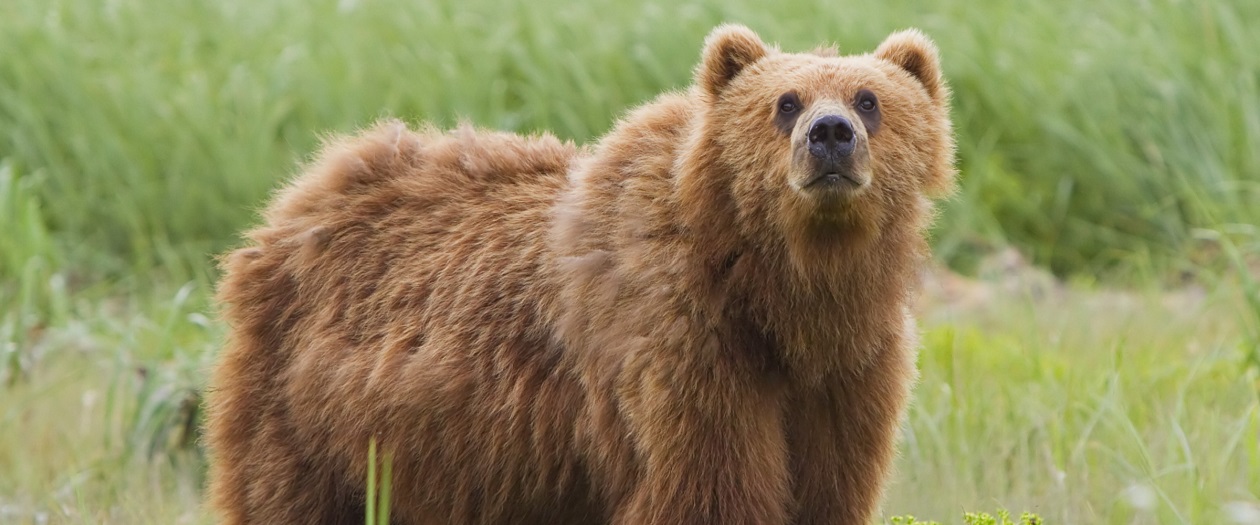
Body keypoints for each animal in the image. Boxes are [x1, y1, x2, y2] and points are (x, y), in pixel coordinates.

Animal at [206, 23, 952, 523]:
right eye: (786, 102)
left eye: (869, 99)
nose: (830, 135)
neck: (784, 294)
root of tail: (300, 193)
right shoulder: (684, 350)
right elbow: (708, 486)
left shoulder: (848, 373)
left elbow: (829, 486)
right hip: (310, 418)